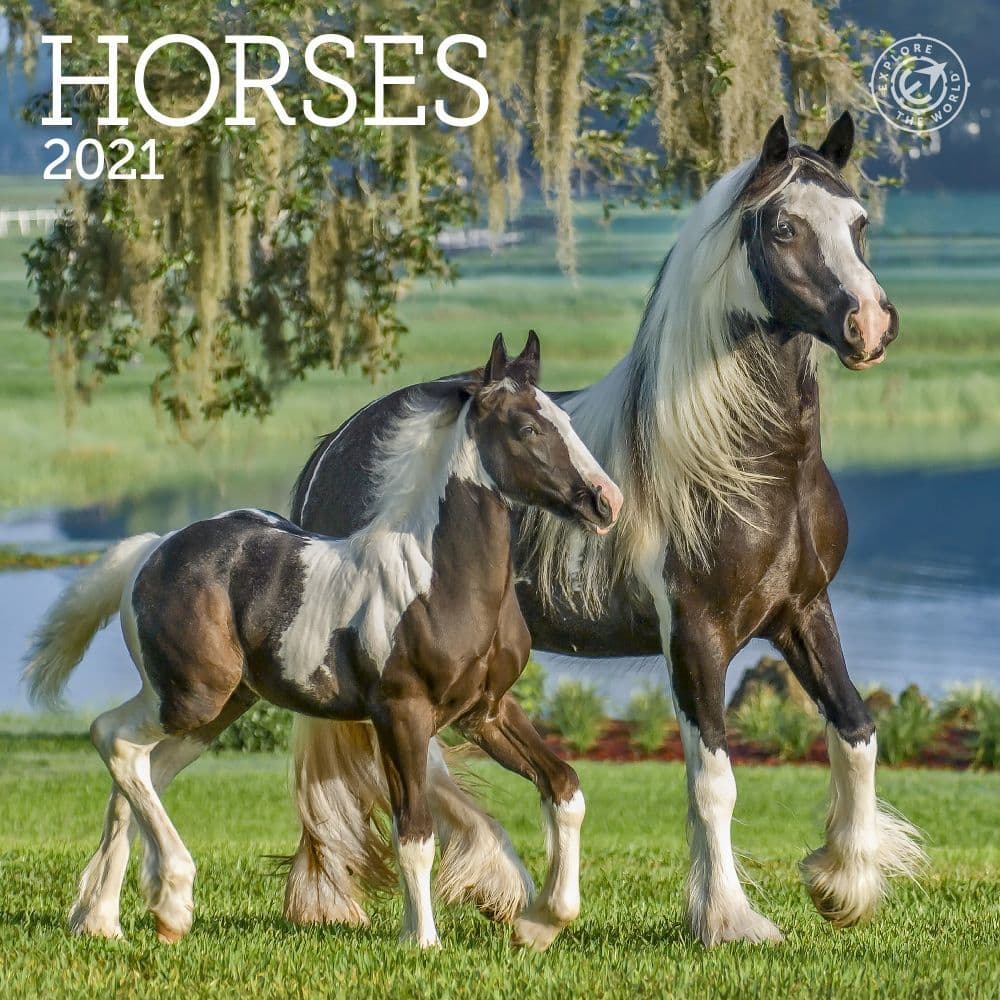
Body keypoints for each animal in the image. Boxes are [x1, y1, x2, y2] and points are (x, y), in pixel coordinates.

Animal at [24, 332, 623, 950]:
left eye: (564, 419)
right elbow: (414, 832)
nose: (606, 502)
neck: (438, 579)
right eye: (527, 428)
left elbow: (565, 788)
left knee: (139, 776)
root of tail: (154, 550)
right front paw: (422, 940)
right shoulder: (401, 714)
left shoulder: (487, 711)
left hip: (216, 711)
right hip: (188, 698)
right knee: (113, 739)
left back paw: (110, 917)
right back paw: (168, 898)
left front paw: (540, 922)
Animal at [284, 113, 926, 946]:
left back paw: (503, 885)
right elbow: (714, 778)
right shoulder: (696, 635)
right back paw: (497, 884)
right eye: (784, 227)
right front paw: (729, 918)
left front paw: (843, 883)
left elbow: (856, 730)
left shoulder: (802, 611)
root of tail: (337, 445)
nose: (870, 324)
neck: (746, 465)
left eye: (858, 221)